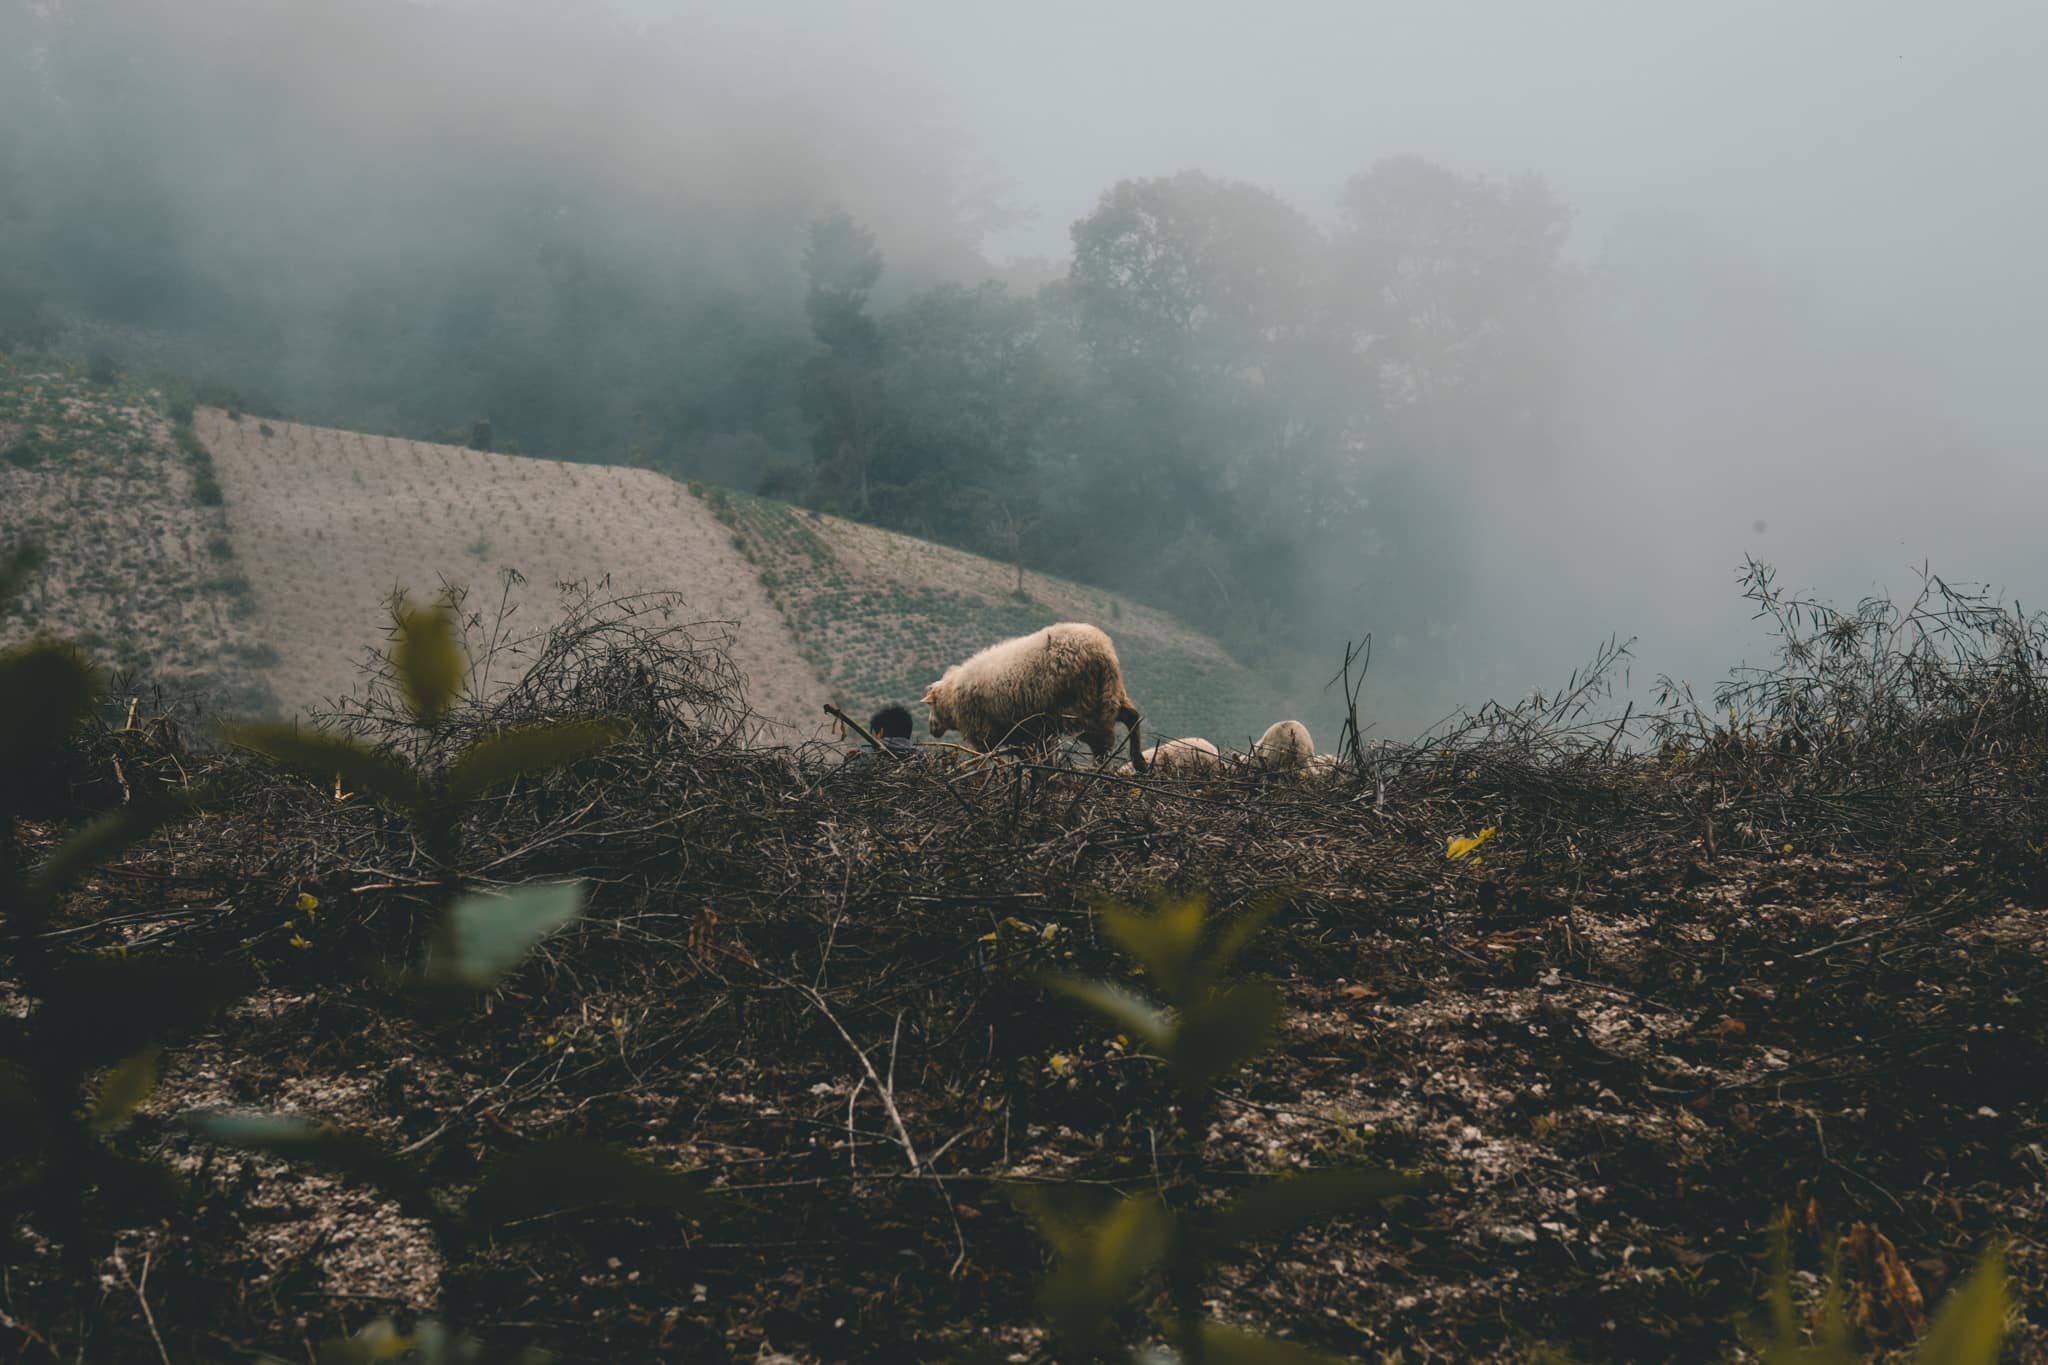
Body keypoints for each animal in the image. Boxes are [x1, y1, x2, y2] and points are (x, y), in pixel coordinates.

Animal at [923, 622, 1147, 771]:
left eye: (931, 706)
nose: (931, 728)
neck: (951, 697)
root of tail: (1102, 651)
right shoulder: (1032, 731)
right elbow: (1036, 757)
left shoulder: (984, 734)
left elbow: (988, 760)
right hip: (1109, 694)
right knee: (1132, 717)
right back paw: (1140, 762)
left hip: (1083, 707)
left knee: (1102, 743)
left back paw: (1099, 772)